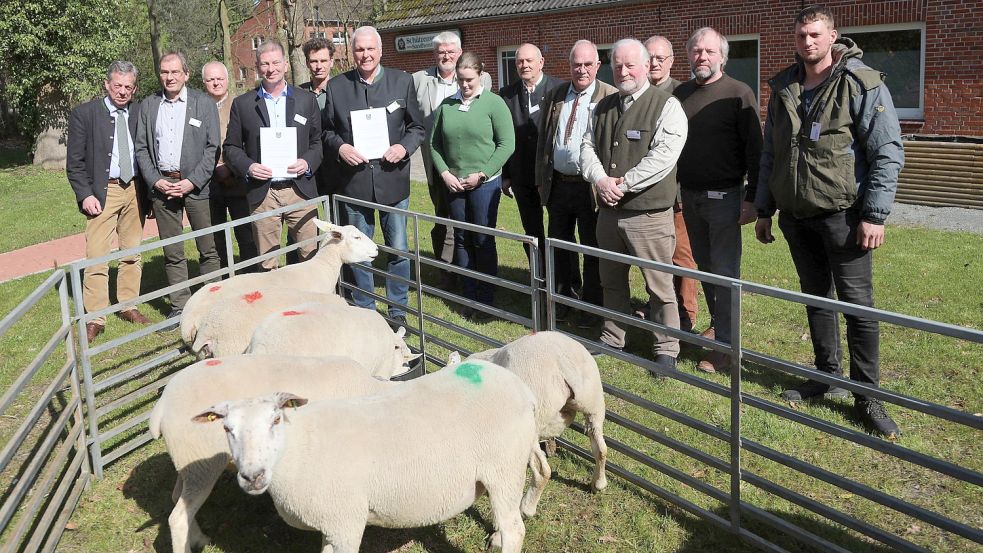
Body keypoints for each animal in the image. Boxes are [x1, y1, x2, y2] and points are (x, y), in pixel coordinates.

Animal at [150, 354, 396, 552]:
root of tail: (162, 403)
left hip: (188, 462)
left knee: (177, 499)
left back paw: (198, 538)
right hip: (201, 463)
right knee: (178, 517)